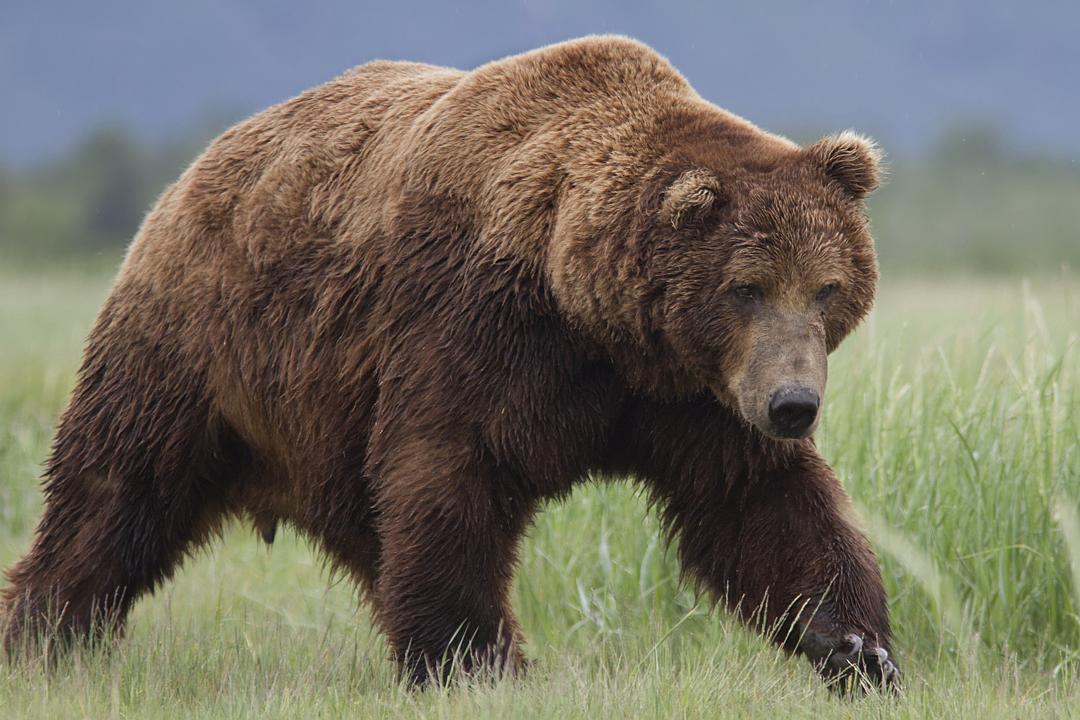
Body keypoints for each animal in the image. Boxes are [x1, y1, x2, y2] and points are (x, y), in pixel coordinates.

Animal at [1, 36, 898, 691]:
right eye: (747, 287)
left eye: (826, 287)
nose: (794, 405)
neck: (590, 313)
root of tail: (192, 171)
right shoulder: (476, 331)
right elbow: (451, 480)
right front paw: (475, 664)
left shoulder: (688, 394)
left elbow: (759, 505)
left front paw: (859, 647)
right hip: (199, 347)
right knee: (115, 490)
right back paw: (45, 636)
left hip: (321, 425)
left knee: (369, 536)